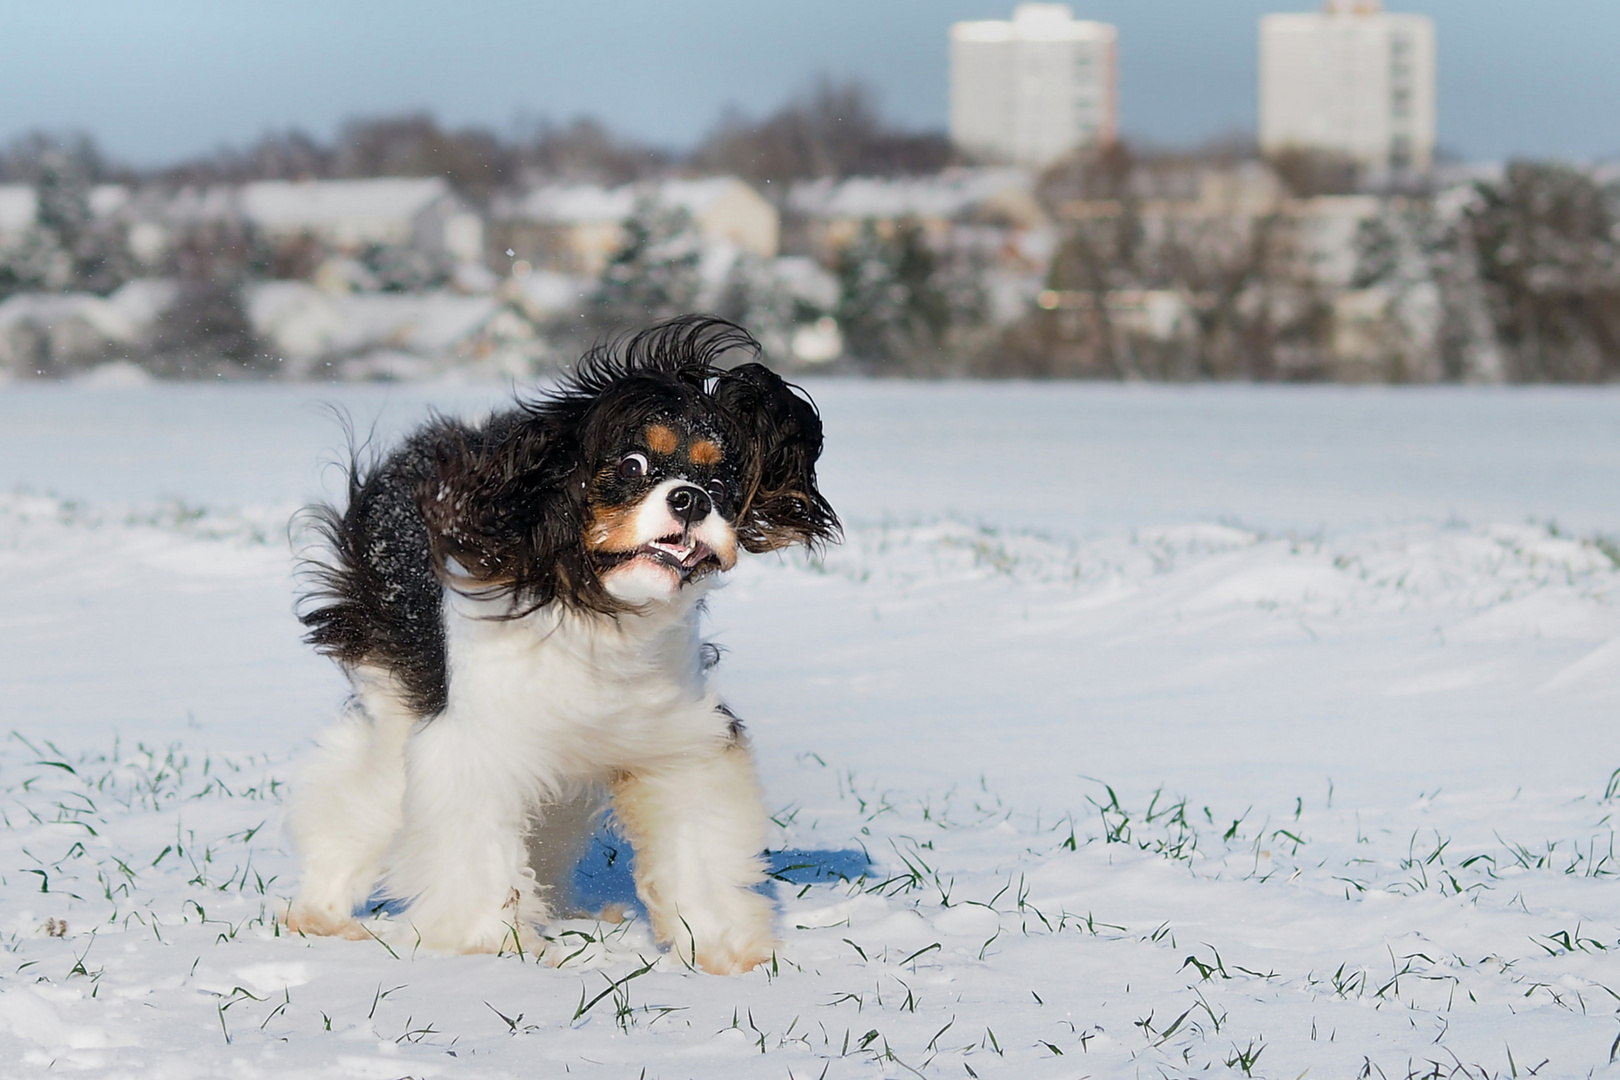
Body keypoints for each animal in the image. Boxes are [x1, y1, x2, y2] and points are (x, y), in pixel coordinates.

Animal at [283, 317, 835, 977]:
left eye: (721, 481)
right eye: (630, 465)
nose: (691, 498)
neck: (596, 613)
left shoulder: (676, 747)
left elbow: (697, 846)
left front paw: (728, 951)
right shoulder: (475, 745)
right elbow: (476, 855)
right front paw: (490, 948)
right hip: (395, 703)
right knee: (358, 794)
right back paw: (323, 914)